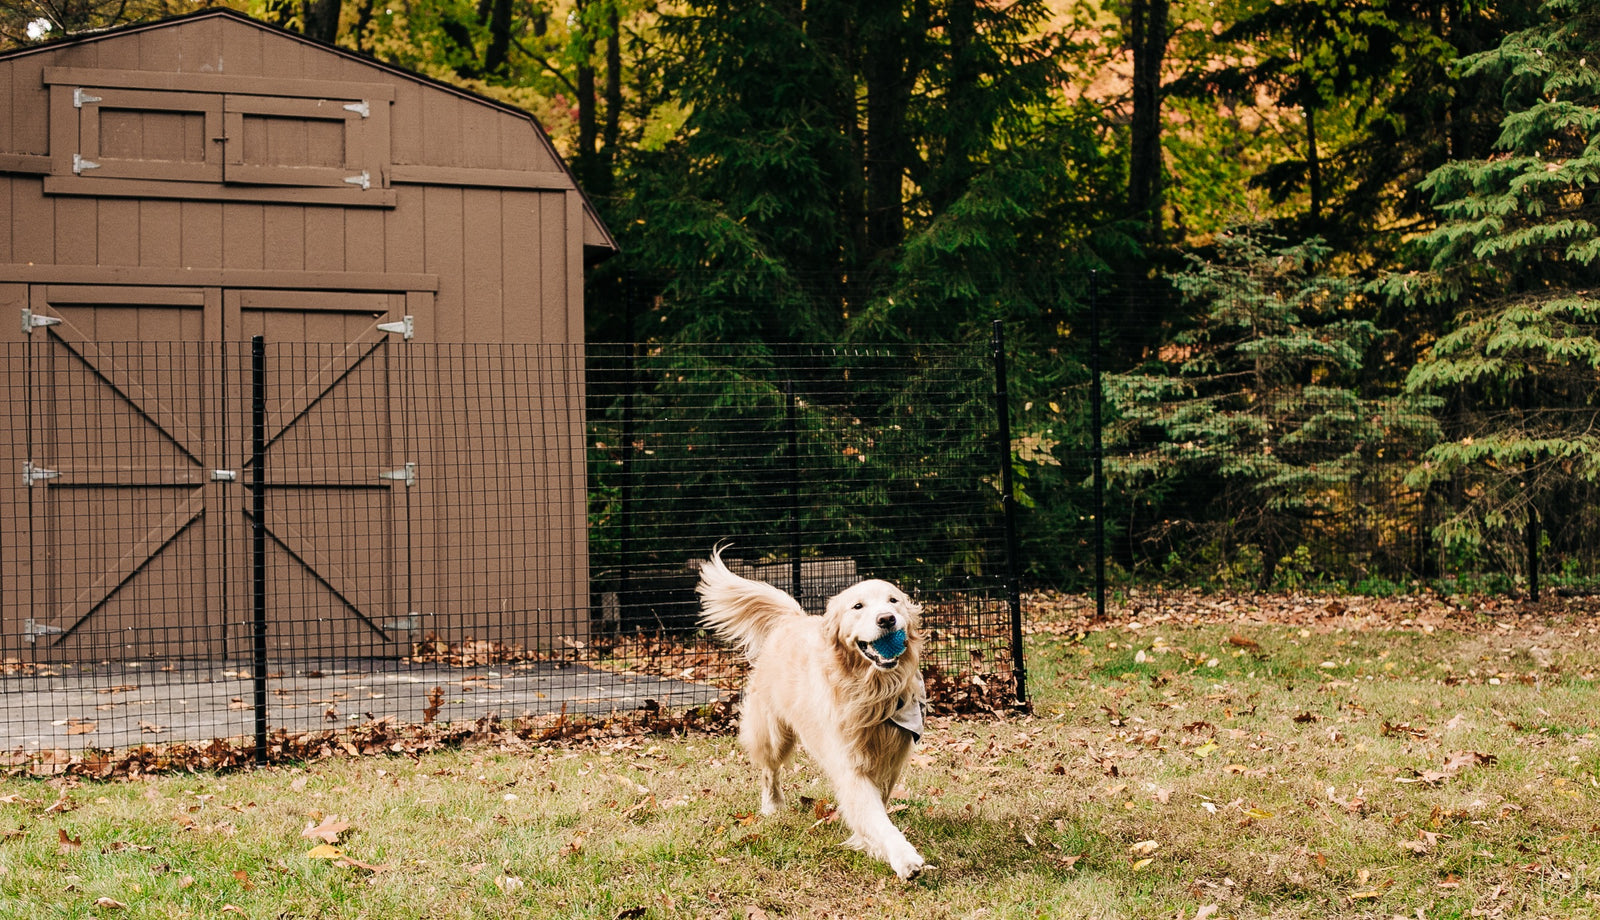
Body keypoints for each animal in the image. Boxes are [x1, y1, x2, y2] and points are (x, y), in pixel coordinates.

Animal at [697, 547, 928, 876]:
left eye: (893, 600)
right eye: (858, 606)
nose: (887, 619)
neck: (872, 691)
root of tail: (791, 619)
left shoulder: (891, 759)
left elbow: (877, 808)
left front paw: (871, 845)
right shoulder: (850, 766)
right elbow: (875, 817)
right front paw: (902, 856)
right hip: (773, 733)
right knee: (769, 770)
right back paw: (772, 805)